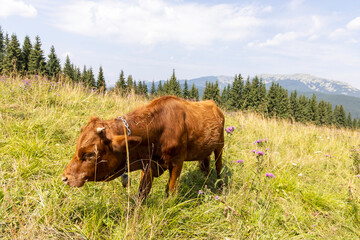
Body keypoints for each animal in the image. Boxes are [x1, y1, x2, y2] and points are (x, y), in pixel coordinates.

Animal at [62, 96, 225, 199]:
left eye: (90, 154)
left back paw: (220, 184)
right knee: (205, 163)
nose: (65, 178)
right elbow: (142, 192)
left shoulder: (177, 162)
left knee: (218, 166)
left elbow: (171, 190)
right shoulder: (147, 164)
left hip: (220, 146)